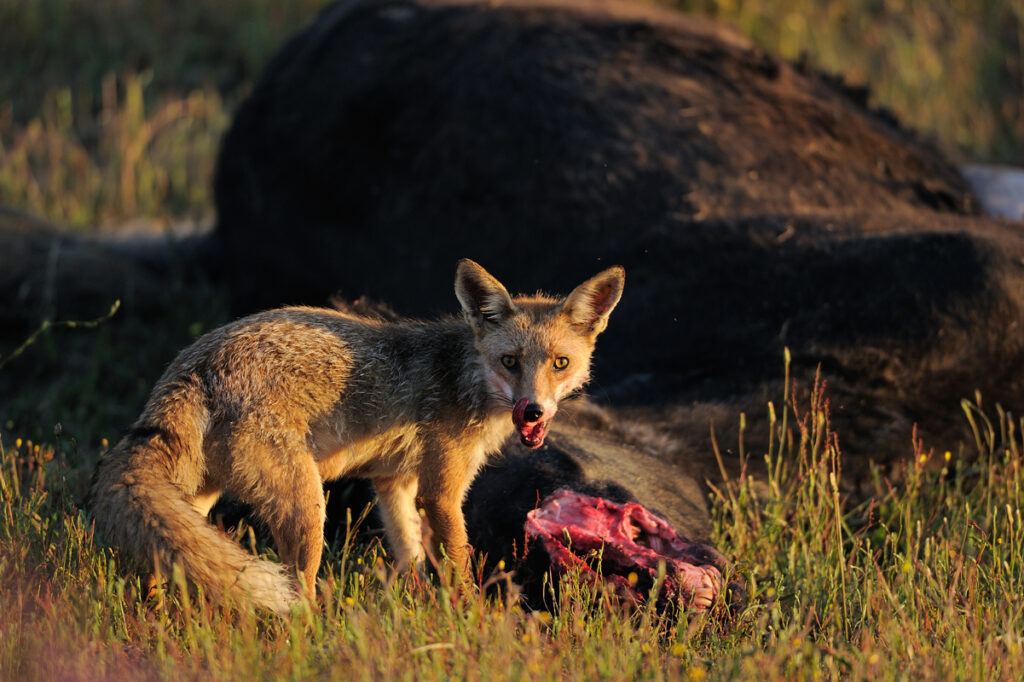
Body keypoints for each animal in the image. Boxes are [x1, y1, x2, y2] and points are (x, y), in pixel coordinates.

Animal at [88, 259, 624, 612]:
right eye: (510, 361)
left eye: (560, 363)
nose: (533, 409)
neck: (464, 376)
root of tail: (195, 362)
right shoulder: (442, 491)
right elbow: (458, 564)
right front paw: (471, 623)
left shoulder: (395, 483)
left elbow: (410, 555)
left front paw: (416, 609)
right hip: (307, 509)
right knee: (297, 594)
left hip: (197, 497)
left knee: (164, 561)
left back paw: (157, 617)